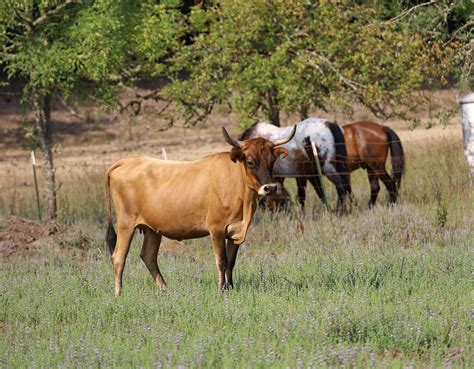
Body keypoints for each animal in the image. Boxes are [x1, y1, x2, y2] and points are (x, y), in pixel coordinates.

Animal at [105, 125, 296, 294]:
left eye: (272, 161)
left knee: (148, 256)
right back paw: (119, 294)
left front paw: (231, 288)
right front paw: (221, 290)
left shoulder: (236, 231)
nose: (270, 188)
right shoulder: (216, 229)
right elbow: (222, 261)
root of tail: (126, 161)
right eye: (250, 161)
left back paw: (165, 289)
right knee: (118, 257)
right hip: (125, 224)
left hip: (152, 229)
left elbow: (231, 262)